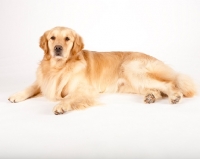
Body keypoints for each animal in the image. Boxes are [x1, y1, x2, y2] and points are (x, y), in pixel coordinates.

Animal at [8, 26, 197, 115]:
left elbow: (70, 97)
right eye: (52, 38)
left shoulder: (85, 89)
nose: (58, 48)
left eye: (67, 38)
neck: (59, 67)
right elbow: (31, 87)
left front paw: (61, 106)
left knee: (169, 84)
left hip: (131, 69)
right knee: (157, 89)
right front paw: (16, 95)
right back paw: (151, 97)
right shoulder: (44, 80)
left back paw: (175, 96)